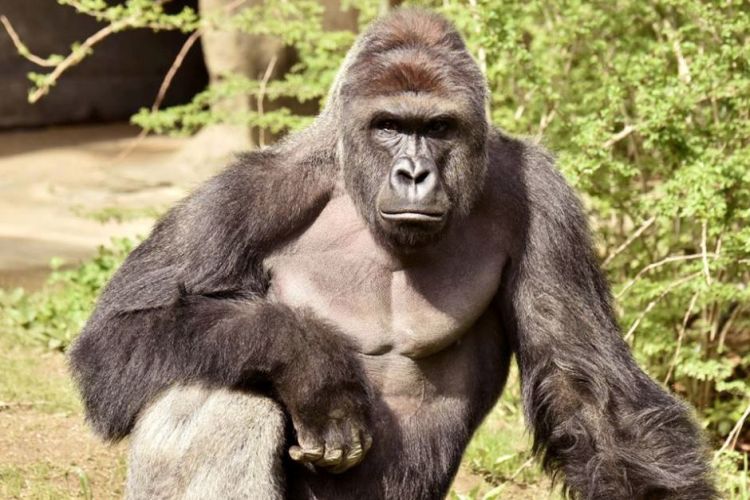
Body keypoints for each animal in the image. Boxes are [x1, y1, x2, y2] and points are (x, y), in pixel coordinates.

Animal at [69, 8, 716, 500]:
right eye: (388, 126)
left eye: (437, 127)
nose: (413, 173)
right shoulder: (248, 193)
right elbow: (115, 338)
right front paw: (312, 364)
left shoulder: (542, 200)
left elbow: (591, 396)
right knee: (214, 390)